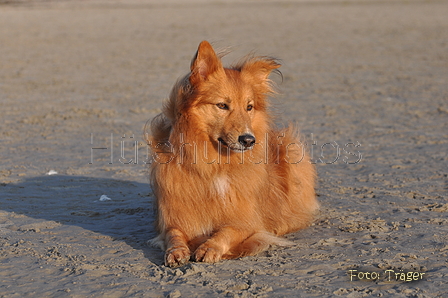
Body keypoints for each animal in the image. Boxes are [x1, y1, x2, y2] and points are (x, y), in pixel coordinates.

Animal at [147, 40, 318, 266]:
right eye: (222, 105)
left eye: (249, 107)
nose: (249, 140)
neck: (215, 165)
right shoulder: (173, 220)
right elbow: (174, 234)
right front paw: (176, 251)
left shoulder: (248, 223)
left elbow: (227, 231)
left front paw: (209, 247)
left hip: (293, 150)